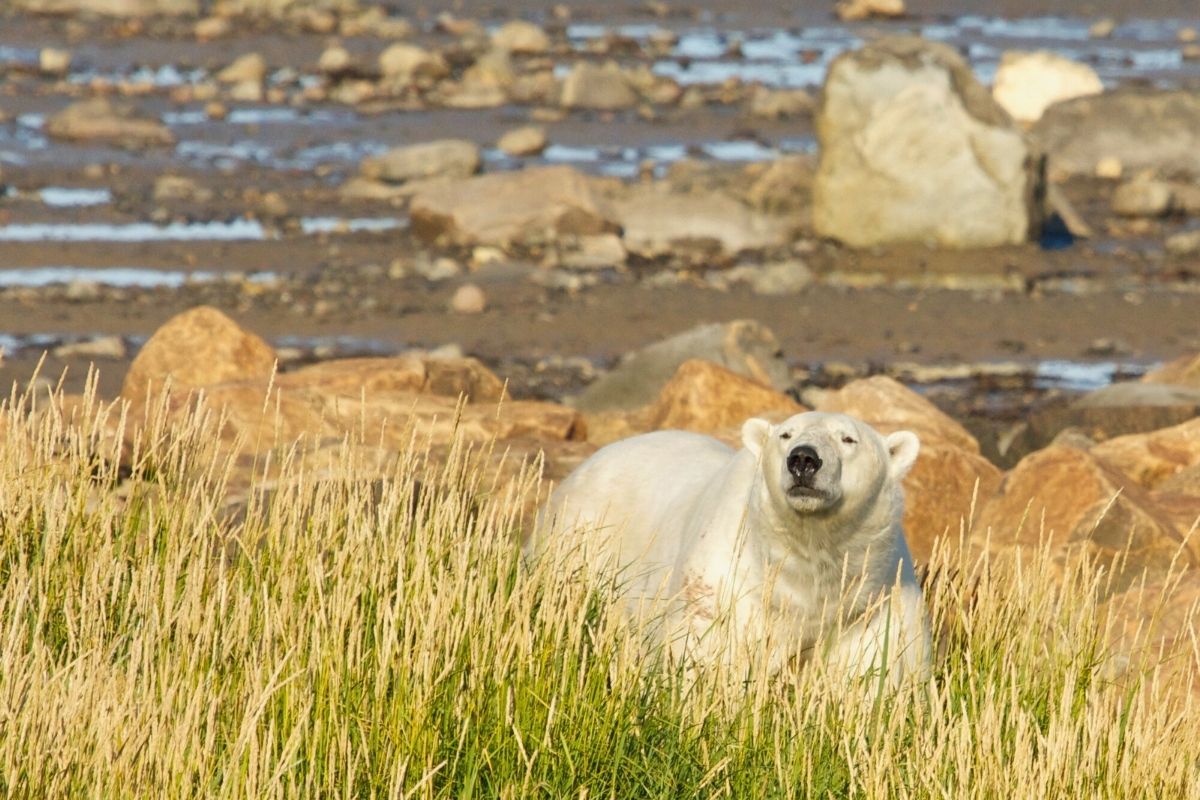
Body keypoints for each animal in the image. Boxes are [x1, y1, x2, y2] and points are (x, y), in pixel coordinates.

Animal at [528, 411, 932, 686]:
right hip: (577, 546)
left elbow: (876, 675)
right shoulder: (726, 588)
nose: (803, 458)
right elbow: (704, 659)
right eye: (785, 434)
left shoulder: (873, 604)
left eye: (849, 439)